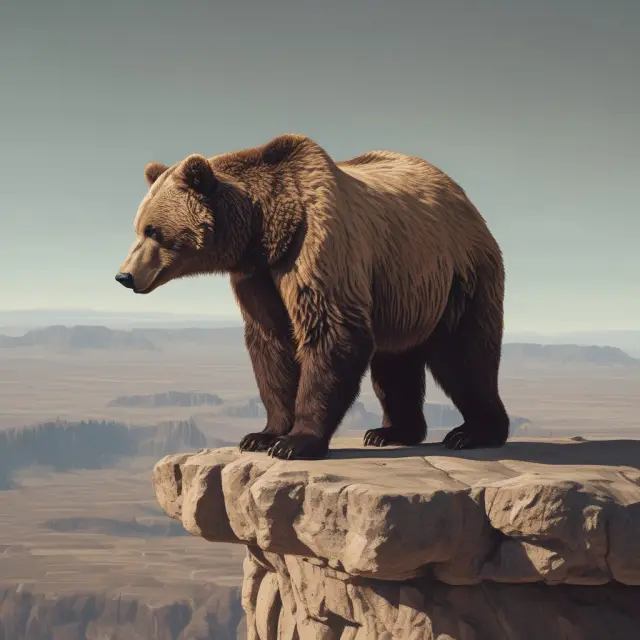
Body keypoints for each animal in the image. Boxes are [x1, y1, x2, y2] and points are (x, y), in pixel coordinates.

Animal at [116, 133, 511, 460]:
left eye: (153, 231)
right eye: (138, 228)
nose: (124, 275)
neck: (266, 230)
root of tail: (458, 191)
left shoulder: (315, 247)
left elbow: (331, 331)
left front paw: (295, 442)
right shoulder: (257, 276)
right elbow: (272, 344)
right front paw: (262, 435)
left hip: (456, 274)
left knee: (464, 353)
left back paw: (474, 432)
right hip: (401, 290)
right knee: (395, 361)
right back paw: (391, 432)